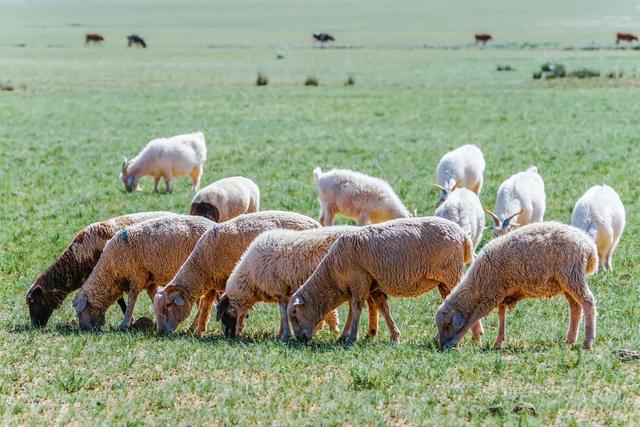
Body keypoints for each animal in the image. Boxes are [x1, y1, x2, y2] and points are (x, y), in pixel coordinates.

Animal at [71, 216, 214, 332]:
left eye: (79, 312)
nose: (83, 329)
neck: (111, 271)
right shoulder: (150, 280)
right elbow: (153, 296)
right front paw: (157, 322)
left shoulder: (137, 276)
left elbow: (131, 300)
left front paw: (124, 324)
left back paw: (195, 327)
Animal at [151, 212, 320, 336]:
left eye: (168, 305)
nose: (161, 333)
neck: (201, 266)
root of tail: (316, 224)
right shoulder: (215, 281)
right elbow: (209, 304)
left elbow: (207, 304)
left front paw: (198, 330)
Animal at [288, 217, 478, 344]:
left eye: (294, 313)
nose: (300, 339)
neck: (333, 276)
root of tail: (463, 236)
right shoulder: (373, 285)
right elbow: (382, 309)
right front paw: (394, 336)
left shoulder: (358, 280)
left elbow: (356, 308)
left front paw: (351, 338)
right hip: (444, 281)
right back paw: (438, 338)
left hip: (451, 273)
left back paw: (475, 336)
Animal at [436, 222, 600, 350]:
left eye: (447, 325)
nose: (439, 346)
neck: (477, 285)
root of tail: (589, 245)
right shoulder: (501, 293)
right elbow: (501, 315)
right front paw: (498, 342)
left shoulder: (491, 294)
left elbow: (473, 318)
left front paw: (454, 342)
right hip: (565, 282)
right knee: (575, 307)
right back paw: (570, 340)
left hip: (571, 275)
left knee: (588, 302)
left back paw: (588, 341)